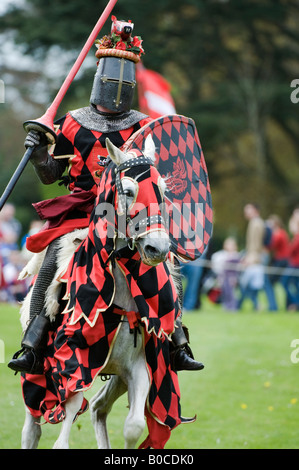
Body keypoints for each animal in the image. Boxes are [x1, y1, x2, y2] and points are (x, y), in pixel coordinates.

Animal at [22, 135, 176, 448]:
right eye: (128, 191)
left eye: (163, 190)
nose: (158, 248)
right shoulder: (75, 364)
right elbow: (62, 436)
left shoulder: (138, 368)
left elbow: (134, 427)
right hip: (38, 375)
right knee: (32, 427)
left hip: (116, 375)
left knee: (98, 408)